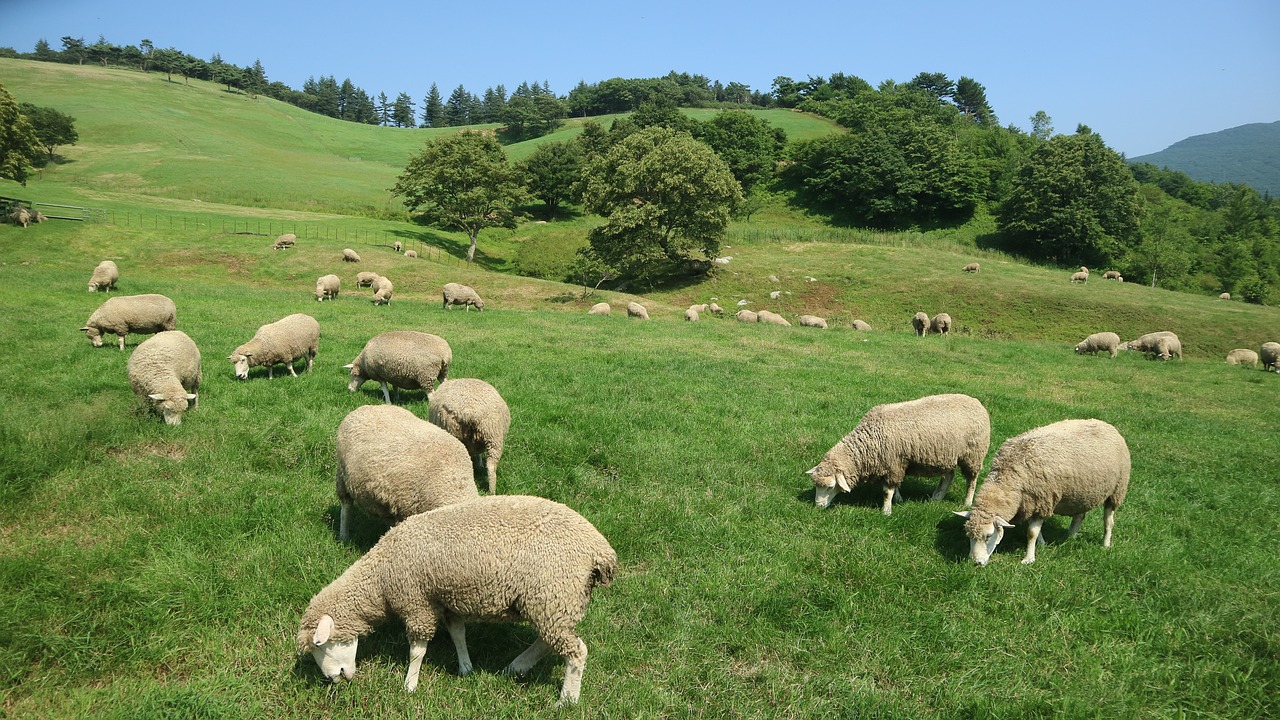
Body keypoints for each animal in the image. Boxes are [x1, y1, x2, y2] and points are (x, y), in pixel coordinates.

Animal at [294, 491, 614, 702]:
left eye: (321, 646)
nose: (333, 679)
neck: (382, 578)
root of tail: (599, 550)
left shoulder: (417, 603)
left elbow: (417, 651)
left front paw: (409, 685)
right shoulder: (446, 600)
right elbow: (458, 634)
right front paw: (466, 668)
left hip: (553, 594)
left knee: (576, 651)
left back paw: (567, 699)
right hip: (552, 602)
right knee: (548, 641)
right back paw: (517, 666)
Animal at [803, 392, 993, 509]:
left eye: (830, 487)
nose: (818, 506)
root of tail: (976, 402)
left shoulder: (894, 462)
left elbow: (887, 491)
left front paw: (886, 511)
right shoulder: (893, 464)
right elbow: (894, 486)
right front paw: (899, 499)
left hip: (973, 455)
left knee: (972, 480)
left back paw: (967, 502)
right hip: (946, 454)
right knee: (949, 476)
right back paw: (937, 497)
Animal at [952, 415, 1131, 566]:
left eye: (989, 536)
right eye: (968, 535)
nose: (976, 562)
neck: (1011, 474)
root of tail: (1107, 425)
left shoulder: (1042, 501)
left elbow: (1031, 532)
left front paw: (1028, 559)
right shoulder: (1032, 503)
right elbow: (1037, 531)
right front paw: (1043, 544)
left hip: (1117, 490)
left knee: (1108, 521)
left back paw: (1105, 544)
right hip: (1083, 492)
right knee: (1080, 515)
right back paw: (1071, 536)